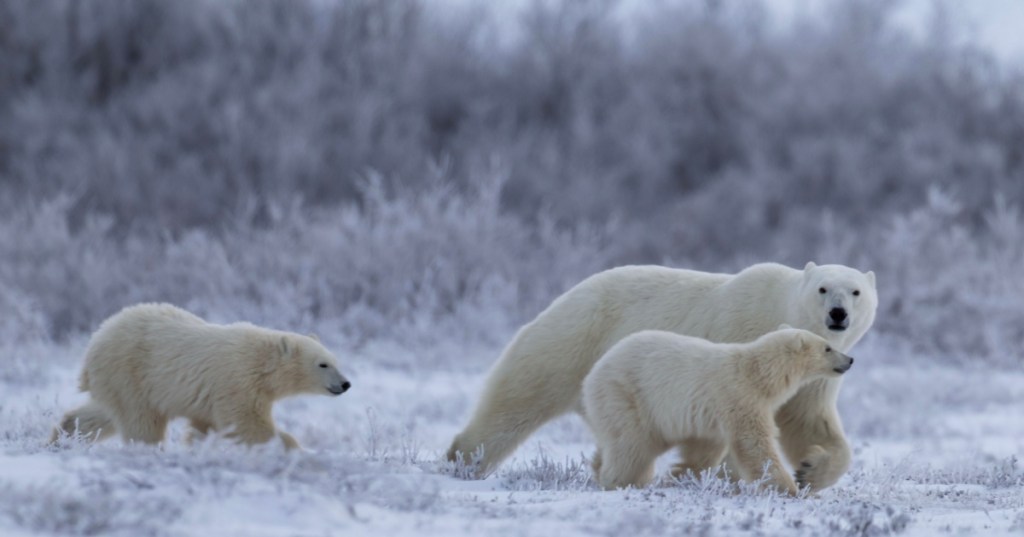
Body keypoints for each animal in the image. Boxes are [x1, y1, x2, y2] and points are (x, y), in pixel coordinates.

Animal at [50, 303, 351, 449]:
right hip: (130, 372)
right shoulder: (236, 381)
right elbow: (247, 423)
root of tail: (97, 338)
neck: (260, 360)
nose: (345, 384)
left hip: (116, 380)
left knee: (101, 414)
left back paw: (62, 438)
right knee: (142, 422)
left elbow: (205, 427)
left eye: (337, 361)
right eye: (323, 364)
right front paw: (293, 448)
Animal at [582, 327, 854, 493]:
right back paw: (620, 481)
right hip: (629, 394)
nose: (850, 360)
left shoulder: (713, 413)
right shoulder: (739, 396)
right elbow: (755, 444)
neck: (757, 374)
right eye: (828, 348)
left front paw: (683, 475)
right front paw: (790, 488)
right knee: (633, 445)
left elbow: (706, 448)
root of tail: (593, 373)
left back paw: (598, 466)